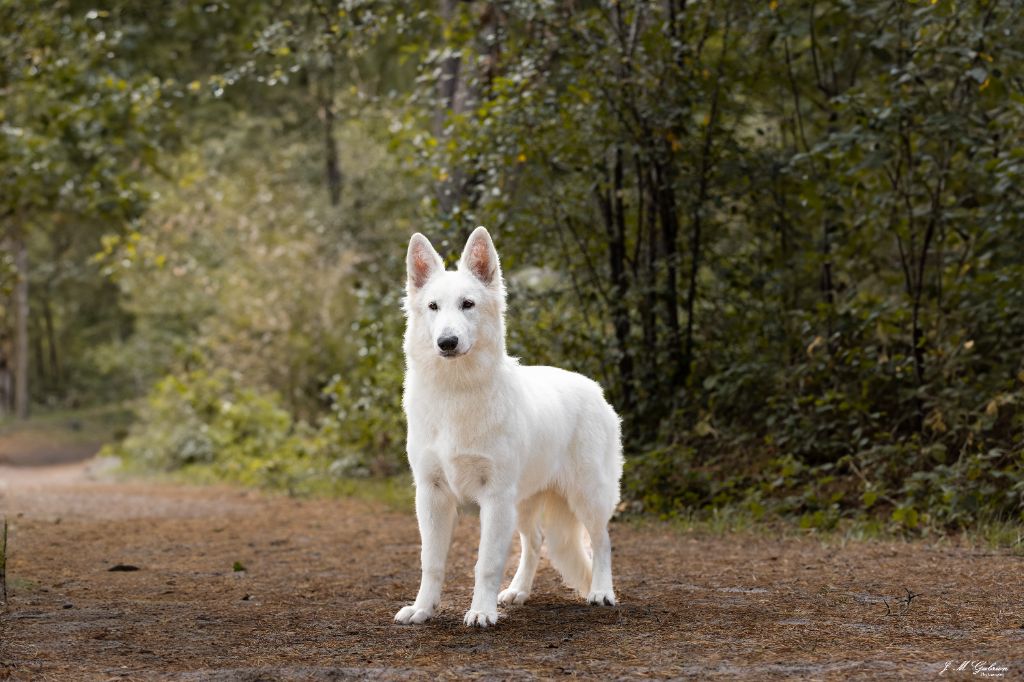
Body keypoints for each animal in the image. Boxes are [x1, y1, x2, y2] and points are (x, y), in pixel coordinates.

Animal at [393, 227, 622, 626]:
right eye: (433, 307)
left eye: (468, 304)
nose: (447, 342)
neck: (457, 392)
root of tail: (594, 389)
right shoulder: (432, 495)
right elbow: (431, 562)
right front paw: (423, 609)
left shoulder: (495, 497)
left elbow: (486, 563)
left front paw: (481, 612)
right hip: (525, 502)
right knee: (535, 542)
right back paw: (518, 592)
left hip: (587, 495)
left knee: (601, 541)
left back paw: (601, 592)